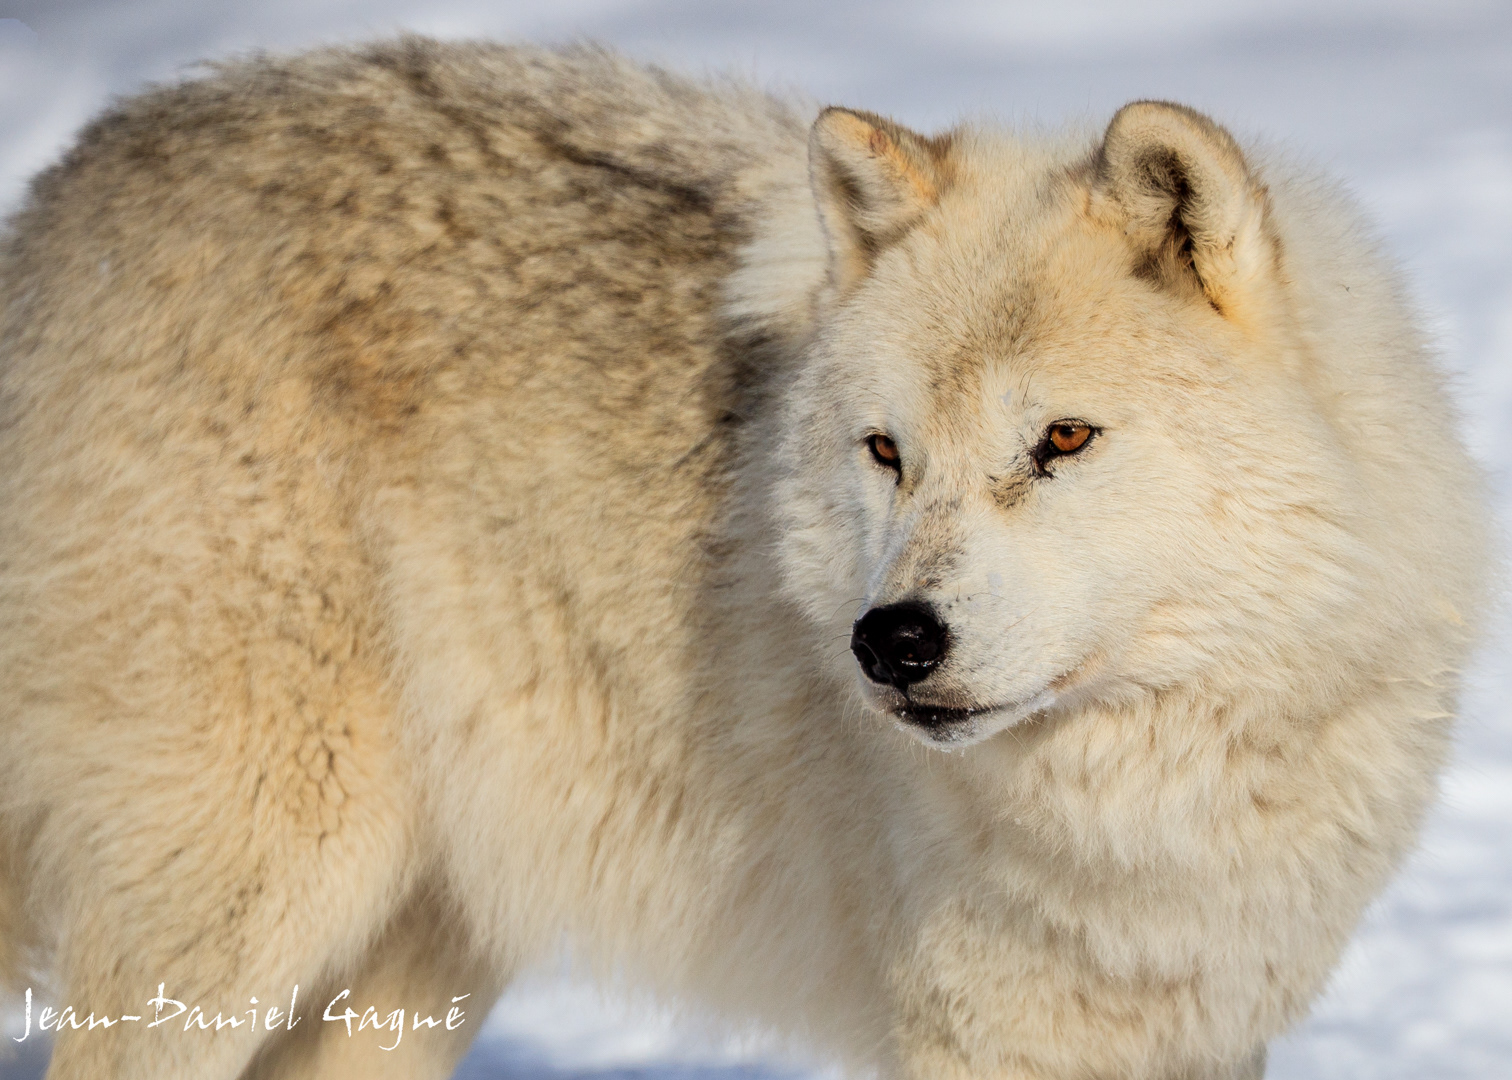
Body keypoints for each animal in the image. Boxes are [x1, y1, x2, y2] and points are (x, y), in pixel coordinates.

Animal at [0, 37, 1490, 1080]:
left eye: (1063, 438)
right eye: (887, 453)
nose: (892, 642)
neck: (1153, 783)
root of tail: (61, 204)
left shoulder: (1202, 1028)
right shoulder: (978, 1030)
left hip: (414, 961)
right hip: (250, 887)